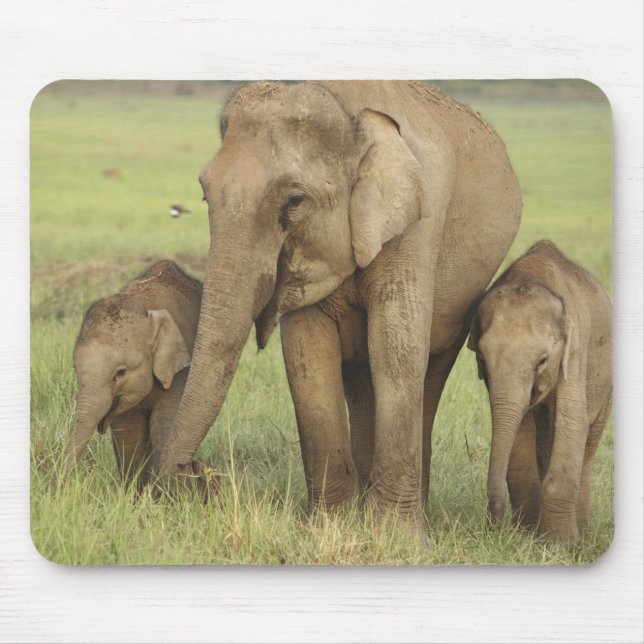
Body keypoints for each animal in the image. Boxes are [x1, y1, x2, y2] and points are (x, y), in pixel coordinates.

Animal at [58, 260, 218, 494]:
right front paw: (135, 497)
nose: (53, 491)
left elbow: (163, 423)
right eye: (74, 368)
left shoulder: (181, 370)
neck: (142, 304)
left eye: (120, 372)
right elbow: (129, 432)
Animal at [159, 81, 522, 532]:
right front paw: (326, 528)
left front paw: (396, 538)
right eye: (205, 194)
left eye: (295, 201)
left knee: (429, 369)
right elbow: (307, 355)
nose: (200, 474)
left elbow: (396, 350)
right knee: (360, 379)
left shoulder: (418, 224)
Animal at [467, 240, 612, 544]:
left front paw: (559, 545)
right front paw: (525, 539)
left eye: (543, 361)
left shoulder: (574, 353)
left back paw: (582, 534)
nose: (492, 526)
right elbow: (519, 428)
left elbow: (573, 423)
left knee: (588, 444)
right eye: (482, 359)